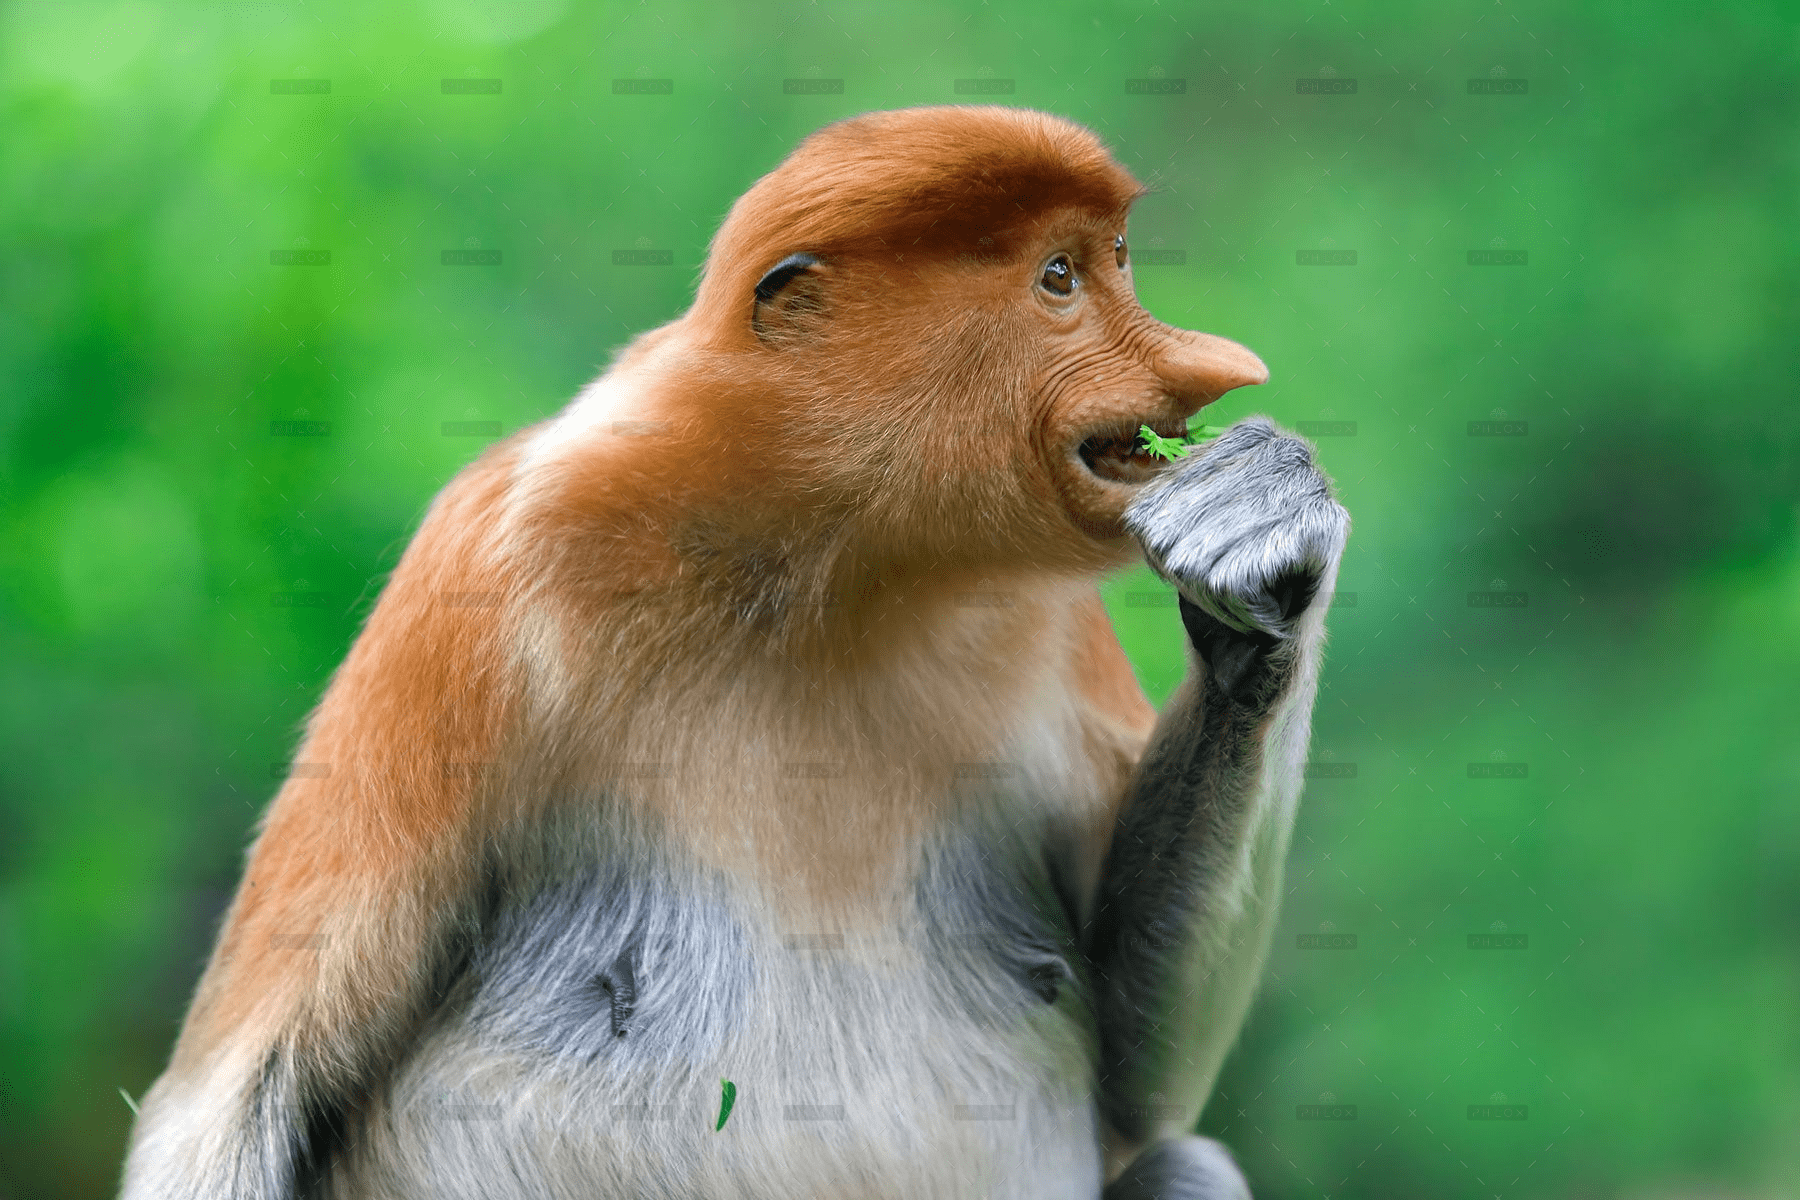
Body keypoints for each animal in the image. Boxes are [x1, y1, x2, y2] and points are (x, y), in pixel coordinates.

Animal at [119, 105, 1348, 1200]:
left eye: (1117, 260)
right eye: (1059, 278)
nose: (1215, 370)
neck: (827, 569)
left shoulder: (1050, 621)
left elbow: (1146, 1083)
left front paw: (1261, 541)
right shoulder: (483, 577)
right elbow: (237, 1095)